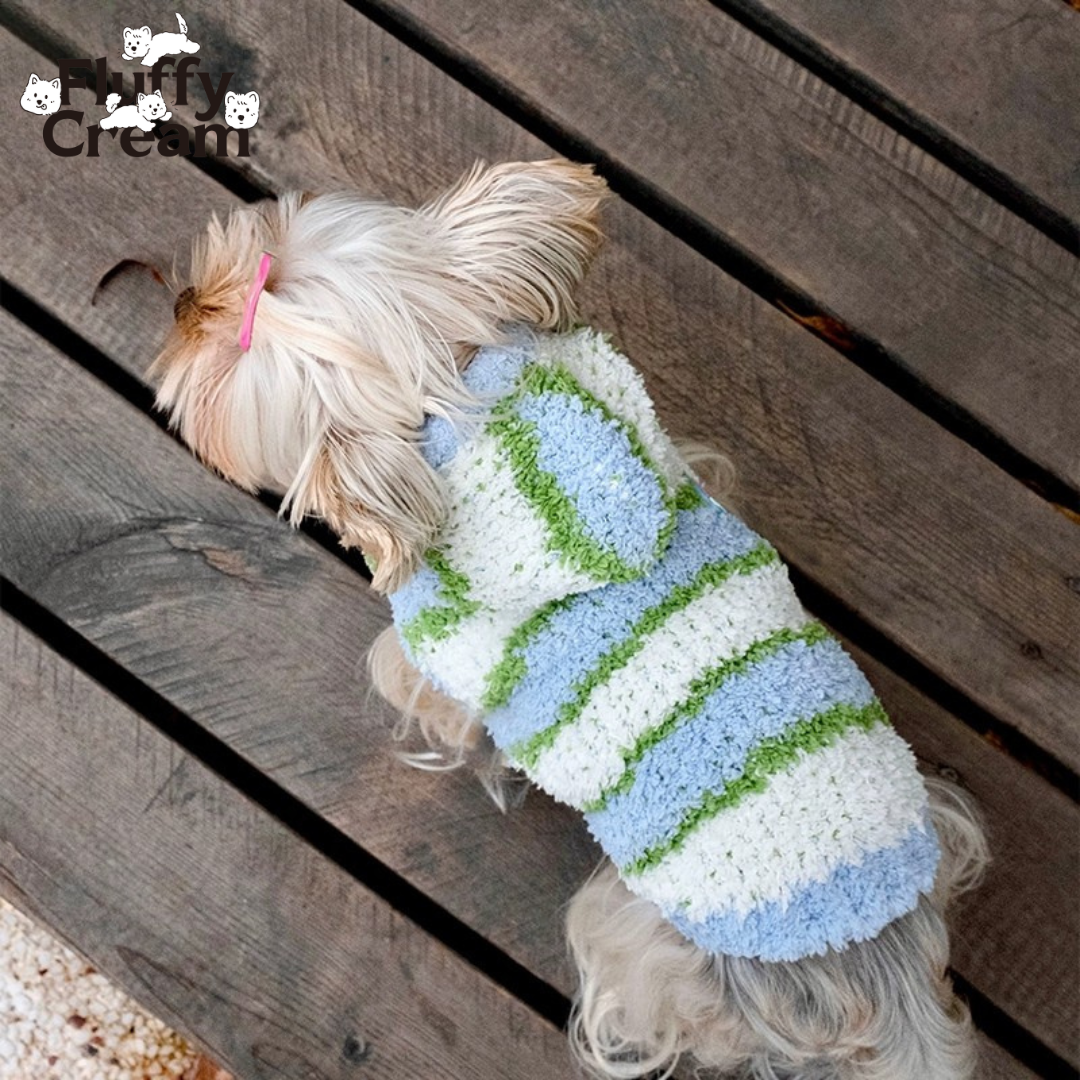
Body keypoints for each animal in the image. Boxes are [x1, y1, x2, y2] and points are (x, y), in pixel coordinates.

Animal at [150, 159, 989, 1080]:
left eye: (222, 355)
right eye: (245, 248)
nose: (183, 300)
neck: (483, 410)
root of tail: (882, 980)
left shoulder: (448, 652)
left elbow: (423, 689)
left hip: (636, 936)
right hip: (940, 820)